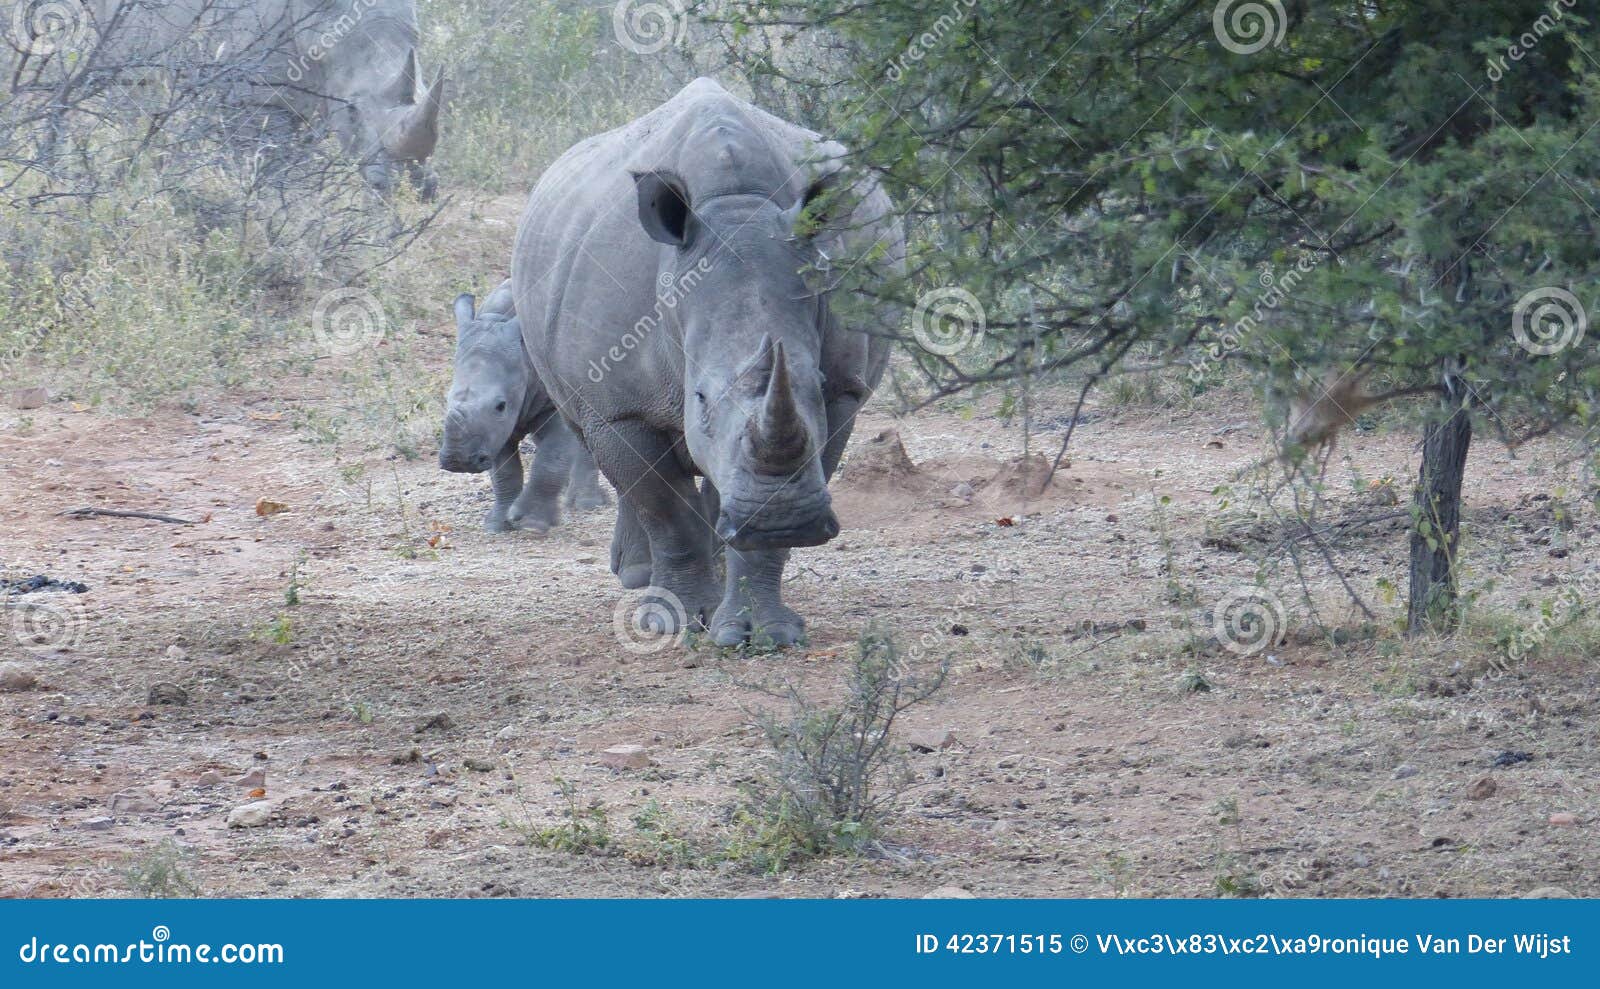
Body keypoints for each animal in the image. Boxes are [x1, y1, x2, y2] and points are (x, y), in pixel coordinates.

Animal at [444, 283, 611, 531]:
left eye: (500, 405)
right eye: (446, 400)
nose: (458, 461)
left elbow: (549, 459)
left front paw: (532, 523)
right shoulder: (494, 429)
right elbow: (505, 471)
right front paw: (498, 526)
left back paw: (586, 504)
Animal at [518, 78, 908, 646]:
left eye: (814, 383)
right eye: (699, 398)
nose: (785, 521)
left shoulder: (842, 392)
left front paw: (763, 631)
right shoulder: (617, 405)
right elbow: (662, 508)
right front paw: (671, 621)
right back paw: (638, 577)